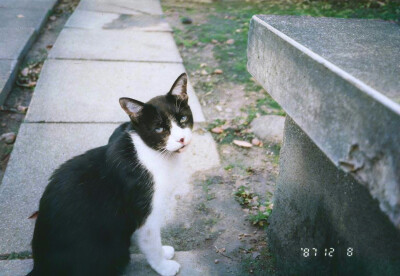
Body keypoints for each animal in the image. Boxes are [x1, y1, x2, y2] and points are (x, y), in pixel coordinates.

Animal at [27, 73, 193, 276]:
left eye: (183, 118)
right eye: (159, 129)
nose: (182, 139)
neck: (151, 153)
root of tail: (40, 266)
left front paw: (165, 253)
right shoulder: (145, 215)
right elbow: (151, 243)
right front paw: (164, 266)